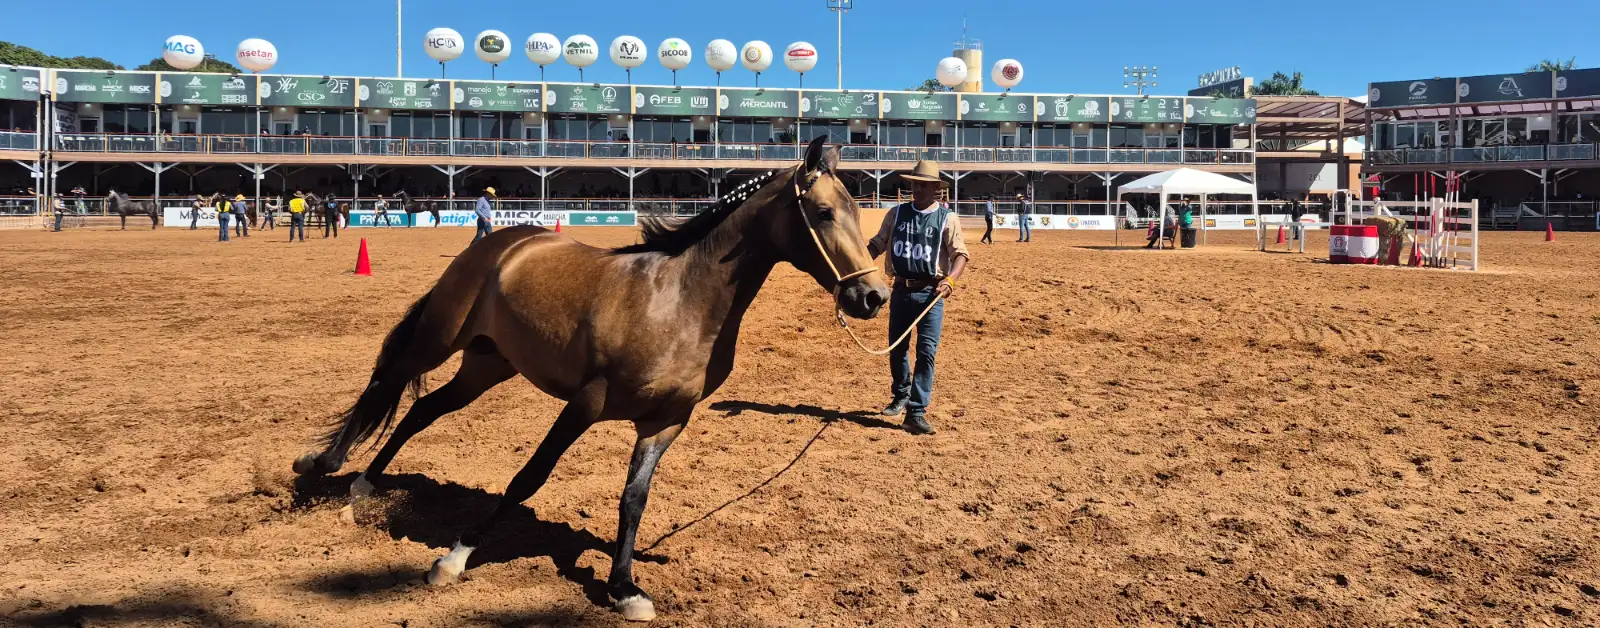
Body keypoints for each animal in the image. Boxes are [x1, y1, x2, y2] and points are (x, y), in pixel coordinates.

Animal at [292, 136, 889, 621]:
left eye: (858, 212)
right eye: (823, 212)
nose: (872, 296)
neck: (680, 303)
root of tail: (501, 243)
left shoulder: (666, 420)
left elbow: (633, 499)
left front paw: (624, 589)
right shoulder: (586, 402)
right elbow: (529, 477)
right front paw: (455, 558)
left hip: (487, 365)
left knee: (421, 410)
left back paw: (367, 483)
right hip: (440, 340)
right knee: (386, 381)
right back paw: (329, 467)